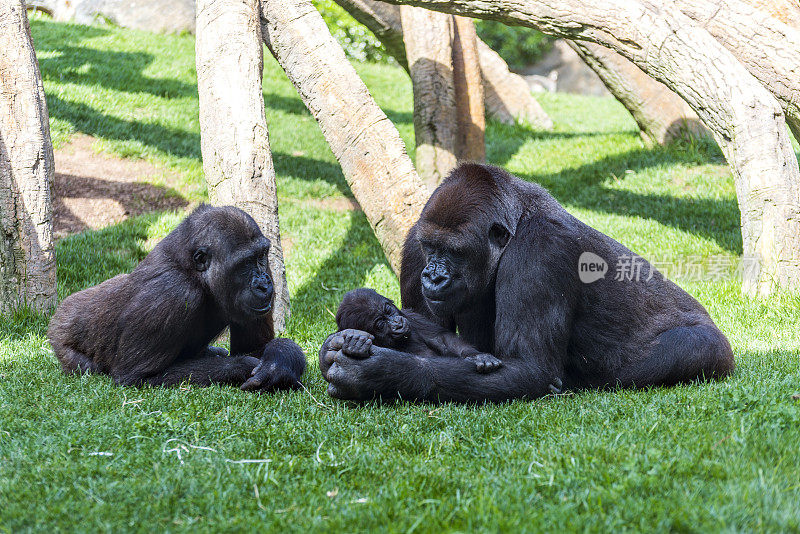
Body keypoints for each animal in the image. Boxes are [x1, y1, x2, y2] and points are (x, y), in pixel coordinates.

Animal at [49, 203, 306, 392]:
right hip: (62, 339)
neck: (195, 274)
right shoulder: (171, 294)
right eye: (244, 264)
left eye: (261, 256)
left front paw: (279, 363)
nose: (264, 284)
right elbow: (136, 377)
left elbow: (258, 348)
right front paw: (241, 366)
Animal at [336, 286, 500, 374]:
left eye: (388, 310)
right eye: (381, 324)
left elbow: (441, 338)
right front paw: (356, 344)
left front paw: (476, 356)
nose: (397, 324)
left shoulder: (411, 316)